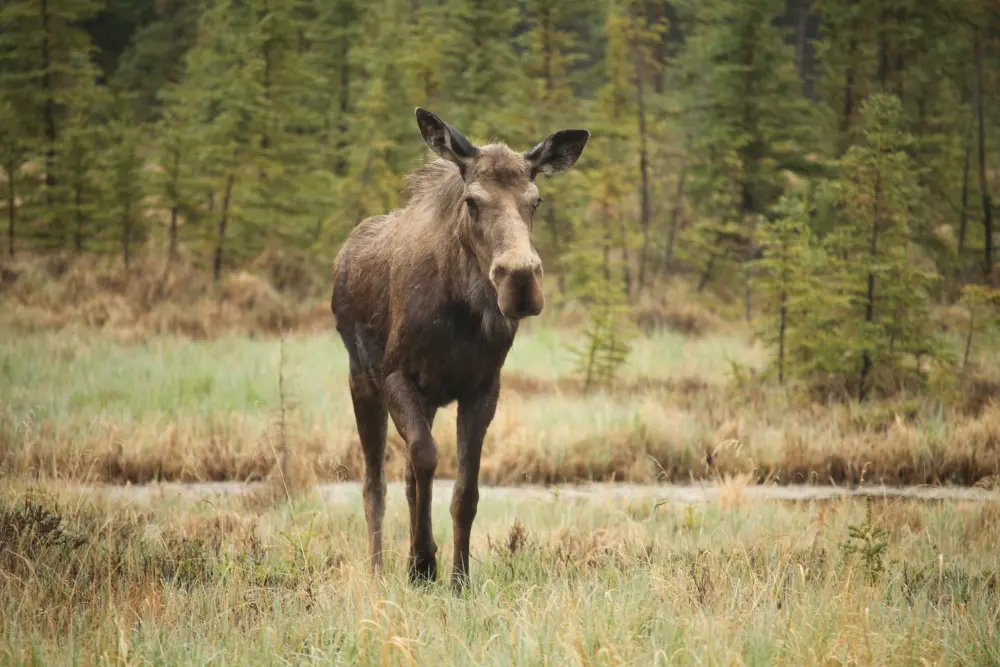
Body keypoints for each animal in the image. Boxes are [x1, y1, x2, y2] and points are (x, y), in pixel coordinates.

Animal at [332, 109, 588, 596]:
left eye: (536, 200)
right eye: (472, 201)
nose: (520, 280)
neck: (460, 309)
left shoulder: (482, 389)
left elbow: (464, 491)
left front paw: (458, 577)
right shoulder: (397, 377)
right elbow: (426, 460)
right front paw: (421, 563)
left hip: (426, 399)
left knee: (407, 478)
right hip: (361, 380)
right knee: (375, 483)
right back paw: (378, 571)